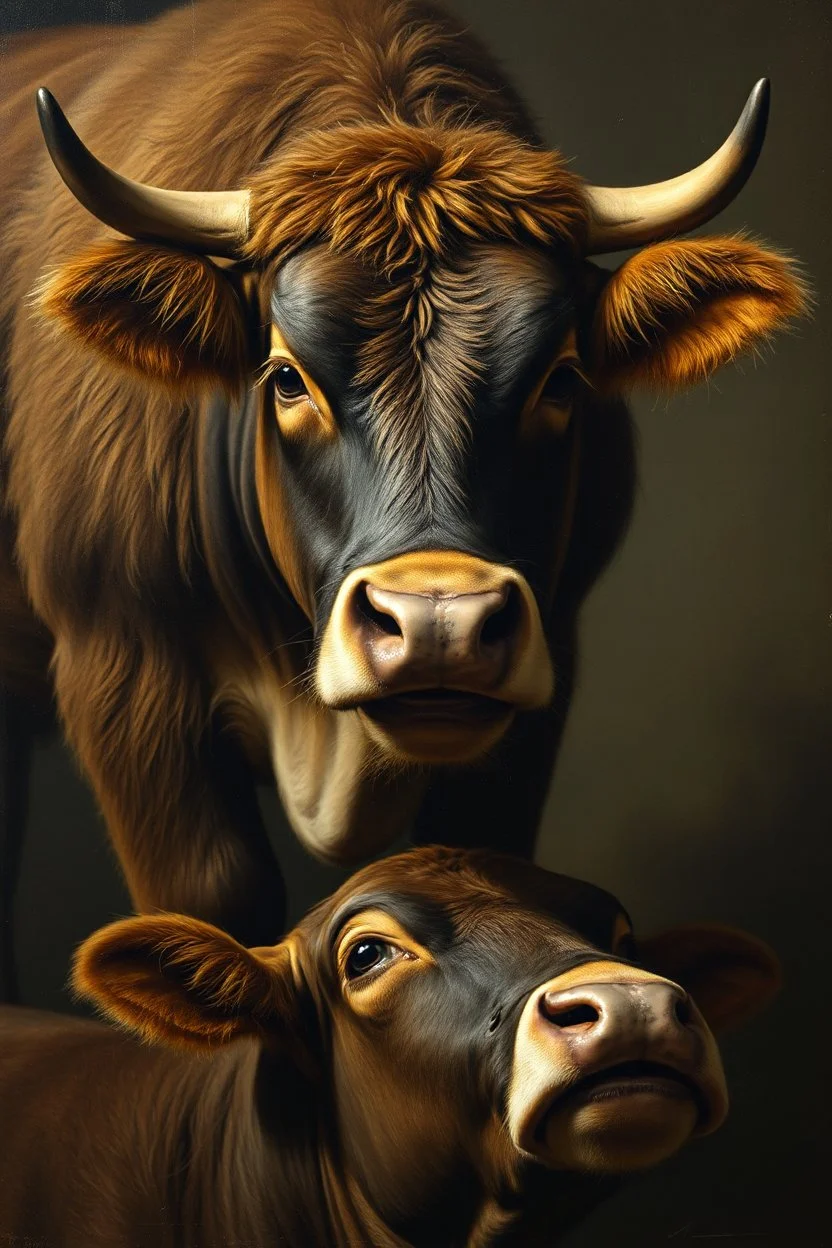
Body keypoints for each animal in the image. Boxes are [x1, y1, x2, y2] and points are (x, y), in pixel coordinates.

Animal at [0, 0, 807, 953]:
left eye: (563, 379)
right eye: (285, 378)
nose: (437, 627)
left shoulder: (546, 666)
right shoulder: (121, 661)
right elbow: (212, 898)